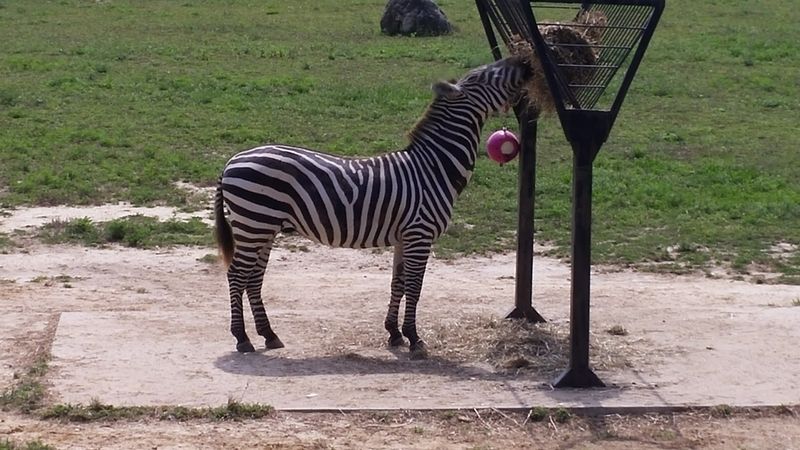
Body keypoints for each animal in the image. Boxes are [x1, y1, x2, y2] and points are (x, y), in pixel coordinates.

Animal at [214, 56, 532, 359]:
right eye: (483, 76)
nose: (524, 61)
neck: (434, 168)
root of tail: (232, 161)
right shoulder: (420, 234)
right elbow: (414, 287)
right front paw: (415, 338)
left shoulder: (405, 237)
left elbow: (398, 283)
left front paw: (394, 333)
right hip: (254, 223)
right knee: (237, 275)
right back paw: (242, 338)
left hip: (263, 228)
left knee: (253, 278)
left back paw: (268, 334)